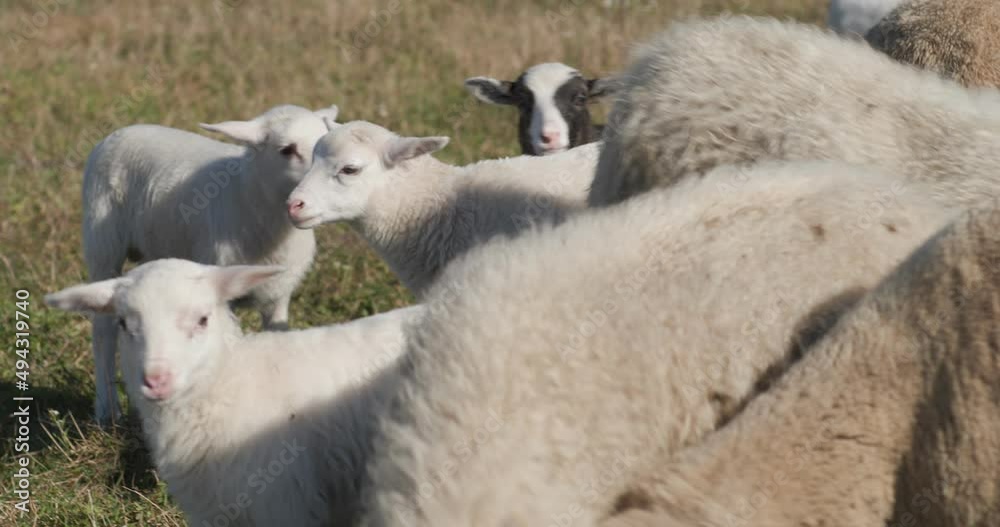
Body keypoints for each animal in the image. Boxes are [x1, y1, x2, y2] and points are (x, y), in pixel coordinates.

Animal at [83, 103, 339, 426]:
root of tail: (122, 131)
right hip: (102, 243)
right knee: (103, 331)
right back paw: (107, 410)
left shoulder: (278, 296)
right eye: (286, 150)